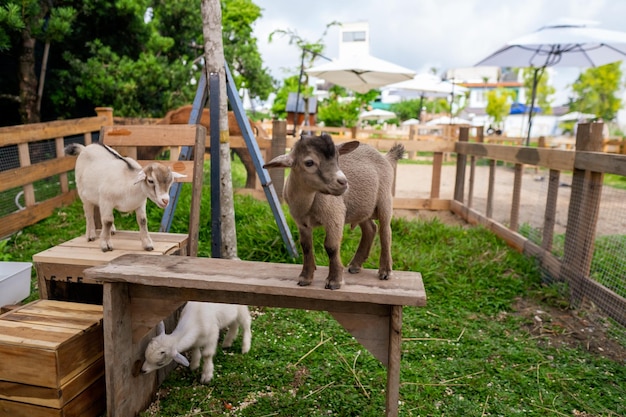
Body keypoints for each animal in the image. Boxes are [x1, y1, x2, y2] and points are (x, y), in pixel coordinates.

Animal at [262, 133, 400, 290]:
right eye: (309, 162)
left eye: (337, 159)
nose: (343, 182)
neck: (307, 204)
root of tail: (386, 157)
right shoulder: (301, 223)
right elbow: (306, 246)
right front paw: (305, 278)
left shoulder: (334, 216)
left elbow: (331, 246)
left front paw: (334, 281)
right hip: (361, 208)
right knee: (370, 229)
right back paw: (355, 265)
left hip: (385, 199)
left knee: (385, 232)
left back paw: (385, 271)